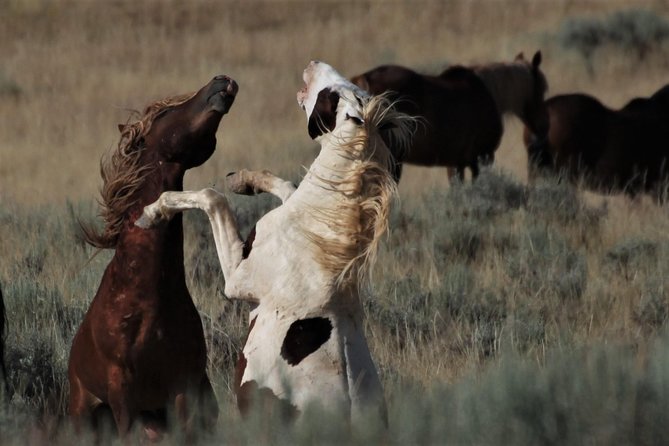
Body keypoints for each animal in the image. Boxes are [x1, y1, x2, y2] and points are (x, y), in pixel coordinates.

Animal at [67, 74, 237, 440]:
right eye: (165, 113)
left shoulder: (182, 388)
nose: (221, 80)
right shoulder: (122, 395)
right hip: (84, 411)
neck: (147, 298)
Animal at [136, 61, 412, 424]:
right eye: (351, 88)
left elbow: (210, 198)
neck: (317, 233)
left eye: (331, 94)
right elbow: (285, 185)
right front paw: (243, 181)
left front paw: (152, 212)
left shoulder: (238, 279)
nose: (314, 64)